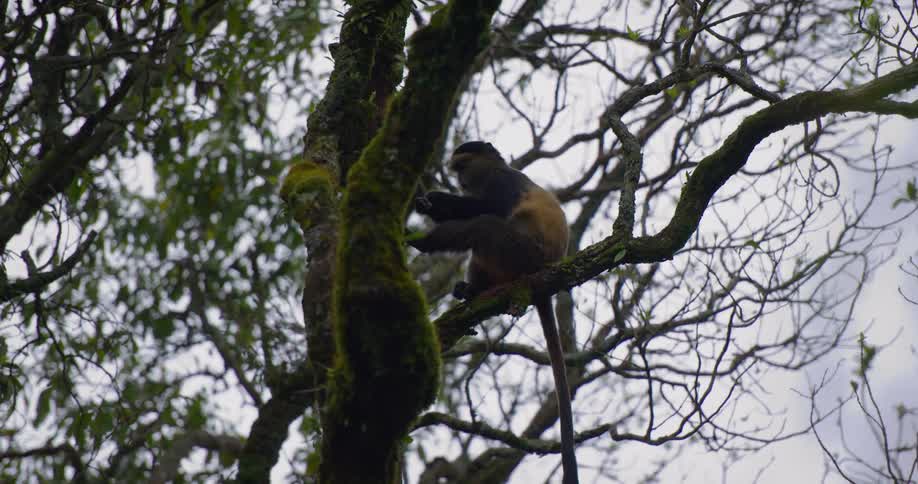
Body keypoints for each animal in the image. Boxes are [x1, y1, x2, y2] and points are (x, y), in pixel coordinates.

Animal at [408, 141, 578, 484]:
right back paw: (471, 291)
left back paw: (425, 244)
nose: (459, 182)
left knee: (484, 224)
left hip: (518, 253)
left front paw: (435, 202)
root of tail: (543, 272)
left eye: (462, 167)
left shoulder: (502, 183)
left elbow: (487, 208)